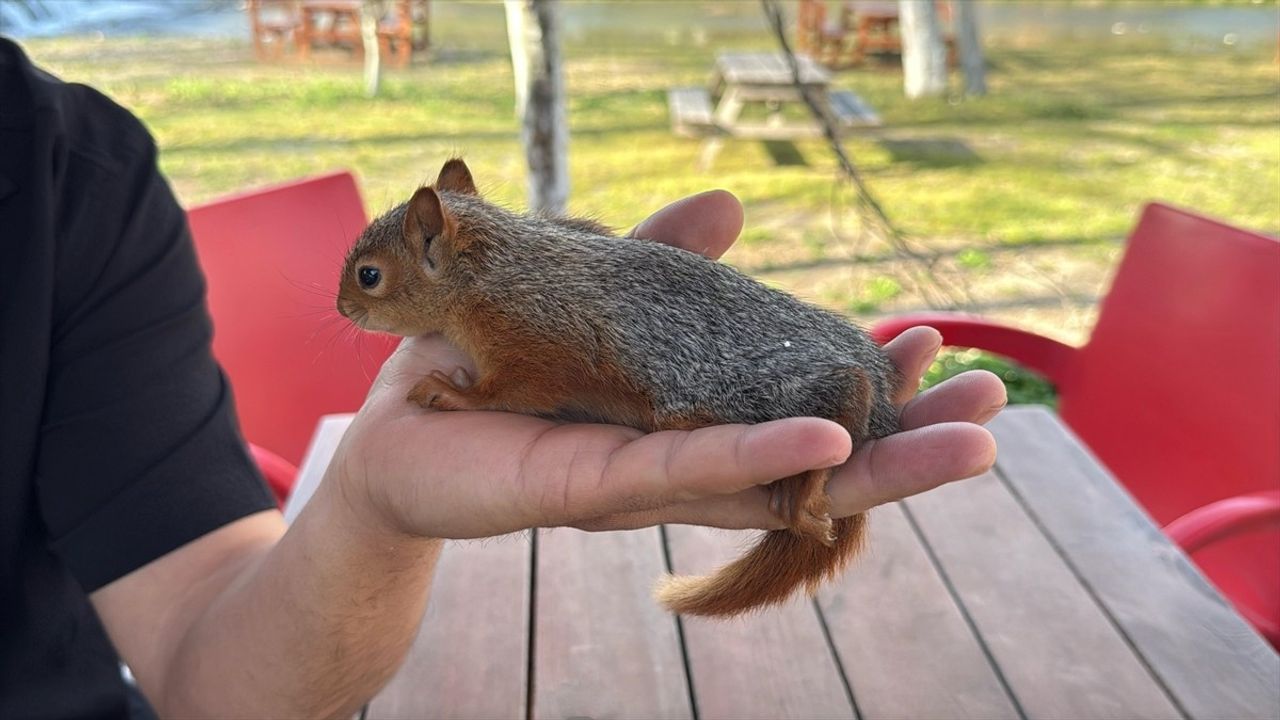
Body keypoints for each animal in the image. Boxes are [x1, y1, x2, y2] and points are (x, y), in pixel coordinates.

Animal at [340, 159, 901, 614]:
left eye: (370, 276)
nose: (342, 309)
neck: (490, 266)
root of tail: (881, 389)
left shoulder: (537, 338)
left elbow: (511, 391)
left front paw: (452, 393)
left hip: (738, 386)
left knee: (840, 389)